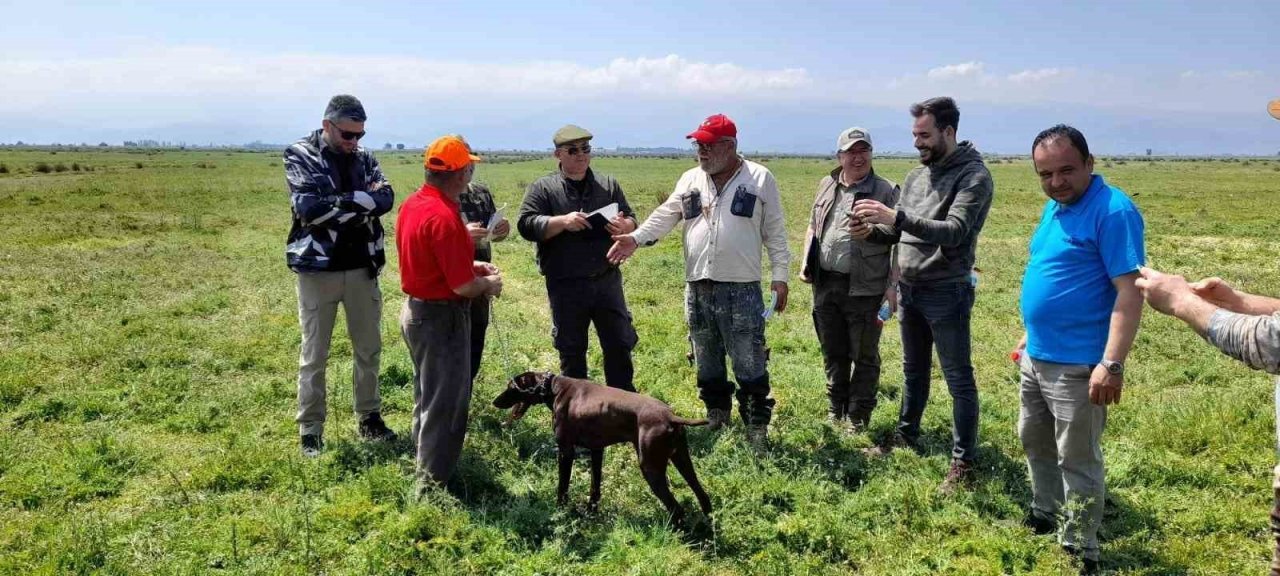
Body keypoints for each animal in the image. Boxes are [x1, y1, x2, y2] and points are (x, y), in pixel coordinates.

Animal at [491, 371, 716, 524]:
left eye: (511, 387)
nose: (494, 401)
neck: (553, 387)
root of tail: (671, 416)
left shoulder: (566, 451)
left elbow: (562, 487)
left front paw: (560, 510)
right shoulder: (597, 450)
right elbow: (595, 485)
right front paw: (591, 511)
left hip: (650, 467)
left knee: (676, 508)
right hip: (682, 460)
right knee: (702, 494)